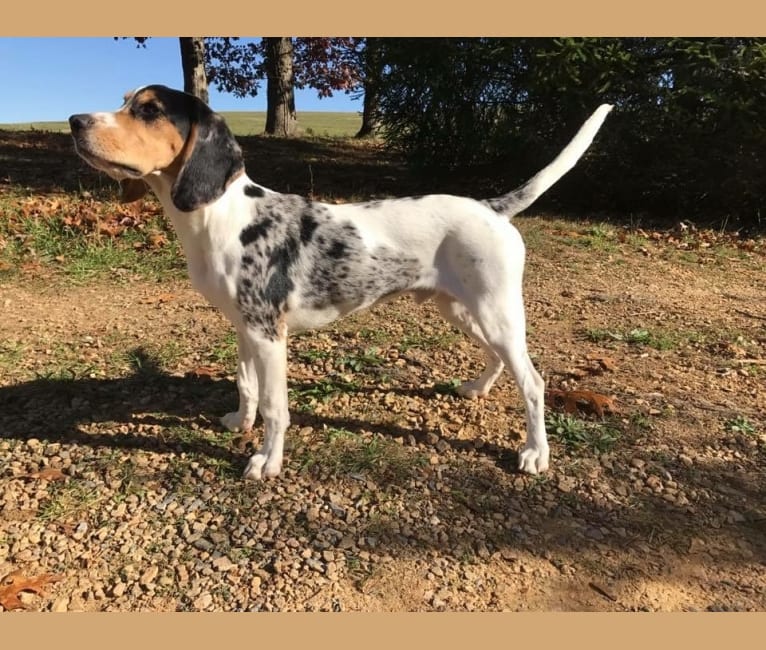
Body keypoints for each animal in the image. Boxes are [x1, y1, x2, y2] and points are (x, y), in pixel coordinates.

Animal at [69, 86, 616, 478]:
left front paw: (266, 462)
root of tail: (491, 207)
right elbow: (246, 386)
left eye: (148, 110)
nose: (75, 121)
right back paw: (476, 389)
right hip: (462, 308)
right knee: (499, 361)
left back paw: (535, 453)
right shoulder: (245, 329)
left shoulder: (270, 335)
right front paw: (239, 424)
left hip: (495, 311)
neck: (220, 217)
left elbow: (275, 406)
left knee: (534, 382)